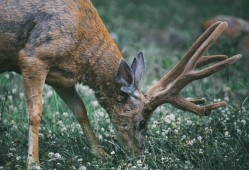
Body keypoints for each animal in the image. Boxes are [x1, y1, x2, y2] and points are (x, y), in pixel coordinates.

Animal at [0, 0, 241, 169]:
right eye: (142, 123)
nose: (139, 155)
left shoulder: (61, 76)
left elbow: (80, 110)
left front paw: (102, 154)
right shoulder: (33, 56)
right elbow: (35, 114)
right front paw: (33, 163)